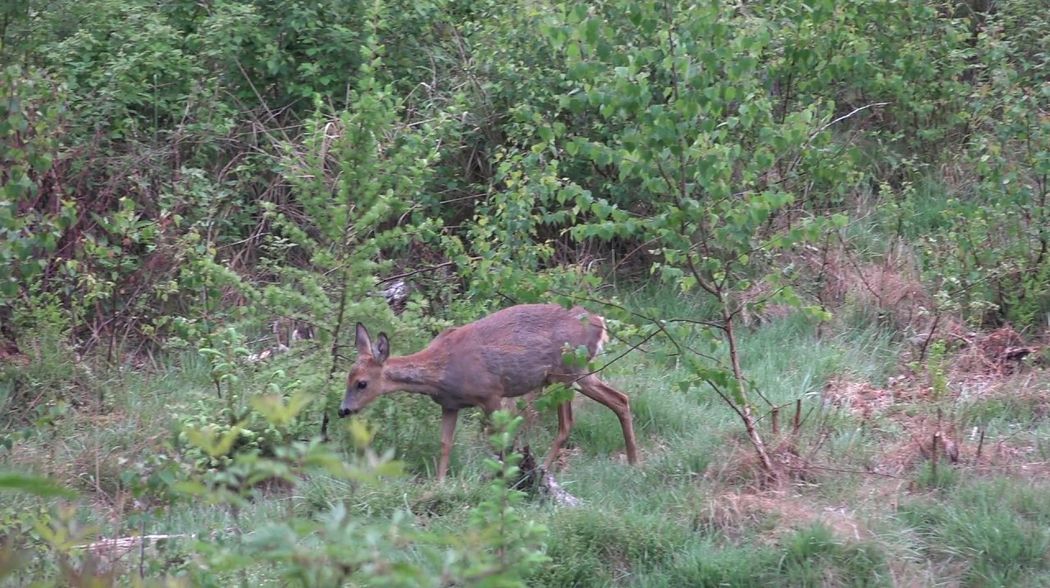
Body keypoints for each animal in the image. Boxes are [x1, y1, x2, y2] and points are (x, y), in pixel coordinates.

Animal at [340, 302, 638, 482]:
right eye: (348, 378)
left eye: (362, 383)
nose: (343, 410)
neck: (442, 370)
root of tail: (598, 321)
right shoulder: (449, 404)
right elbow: (445, 443)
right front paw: (439, 483)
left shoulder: (492, 394)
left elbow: (501, 441)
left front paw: (499, 478)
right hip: (577, 375)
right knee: (620, 399)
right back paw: (633, 462)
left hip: (566, 374)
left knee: (569, 422)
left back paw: (544, 470)